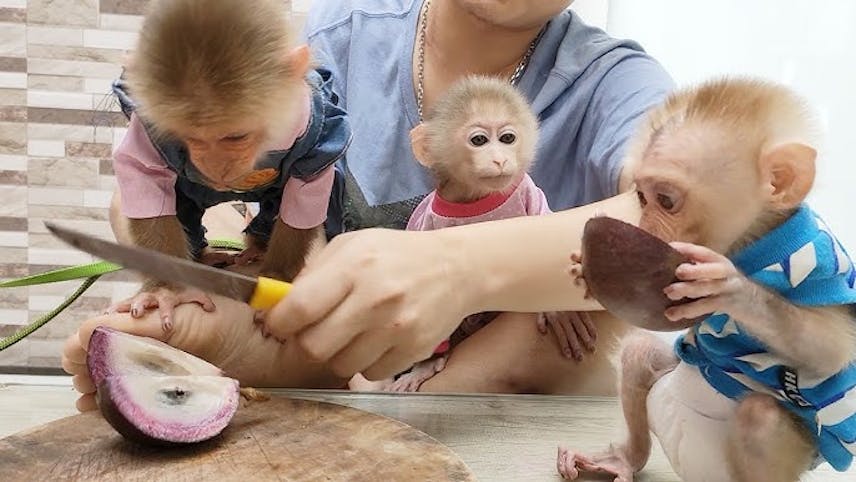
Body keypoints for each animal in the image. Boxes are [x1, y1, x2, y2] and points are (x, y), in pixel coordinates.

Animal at [107, 0, 351, 330]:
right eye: (191, 138)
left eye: (236, 137)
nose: (215, 166)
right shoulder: (150, 125)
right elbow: (143, 174)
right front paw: (166, 289)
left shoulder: (313, 124)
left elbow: (305, 195)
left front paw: (277, 277)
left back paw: (258, 248)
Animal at [349, 75, 598, 393]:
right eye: (479, 140)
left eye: (507, 138)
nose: (500, 160)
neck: (475, 200)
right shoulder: (425, 225)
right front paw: (424, 364)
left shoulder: (527, 189)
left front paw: (557, 310)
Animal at [556, 77, 856, 482]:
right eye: (642, 198)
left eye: (665, 201)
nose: (645, 226)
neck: (748, 242)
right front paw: (580, 268)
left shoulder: (818, 258)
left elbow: (833, 351)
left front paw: (731, 289)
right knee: (639, 354)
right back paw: (628, 457)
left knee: (760, 420)